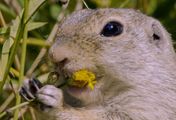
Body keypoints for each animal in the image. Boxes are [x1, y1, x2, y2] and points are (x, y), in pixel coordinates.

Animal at [19, 8, 176, 120]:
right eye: (64, 22)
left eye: (112, 28)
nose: (55, 55)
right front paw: (30, 86)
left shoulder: (151, 106)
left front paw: (58, 104)